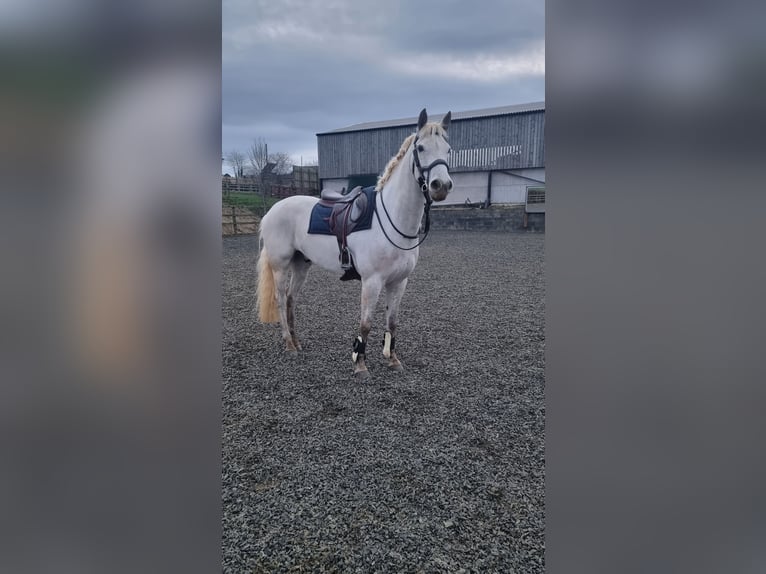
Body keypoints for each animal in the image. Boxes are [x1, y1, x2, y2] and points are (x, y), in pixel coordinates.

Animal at [258, 109, 452, 380]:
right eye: (421, 147)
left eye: (448, 150)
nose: (441, 186)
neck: (393, 218)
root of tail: (272, 210)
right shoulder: (372, 282)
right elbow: (366, 324)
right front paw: (360, 365)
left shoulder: (399, 282)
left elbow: (392, 322)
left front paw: (393, 360)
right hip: (280, 265)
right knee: (279, 299)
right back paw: (289, 345)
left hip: (301, 265)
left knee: (290, 299)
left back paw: (297, 342)